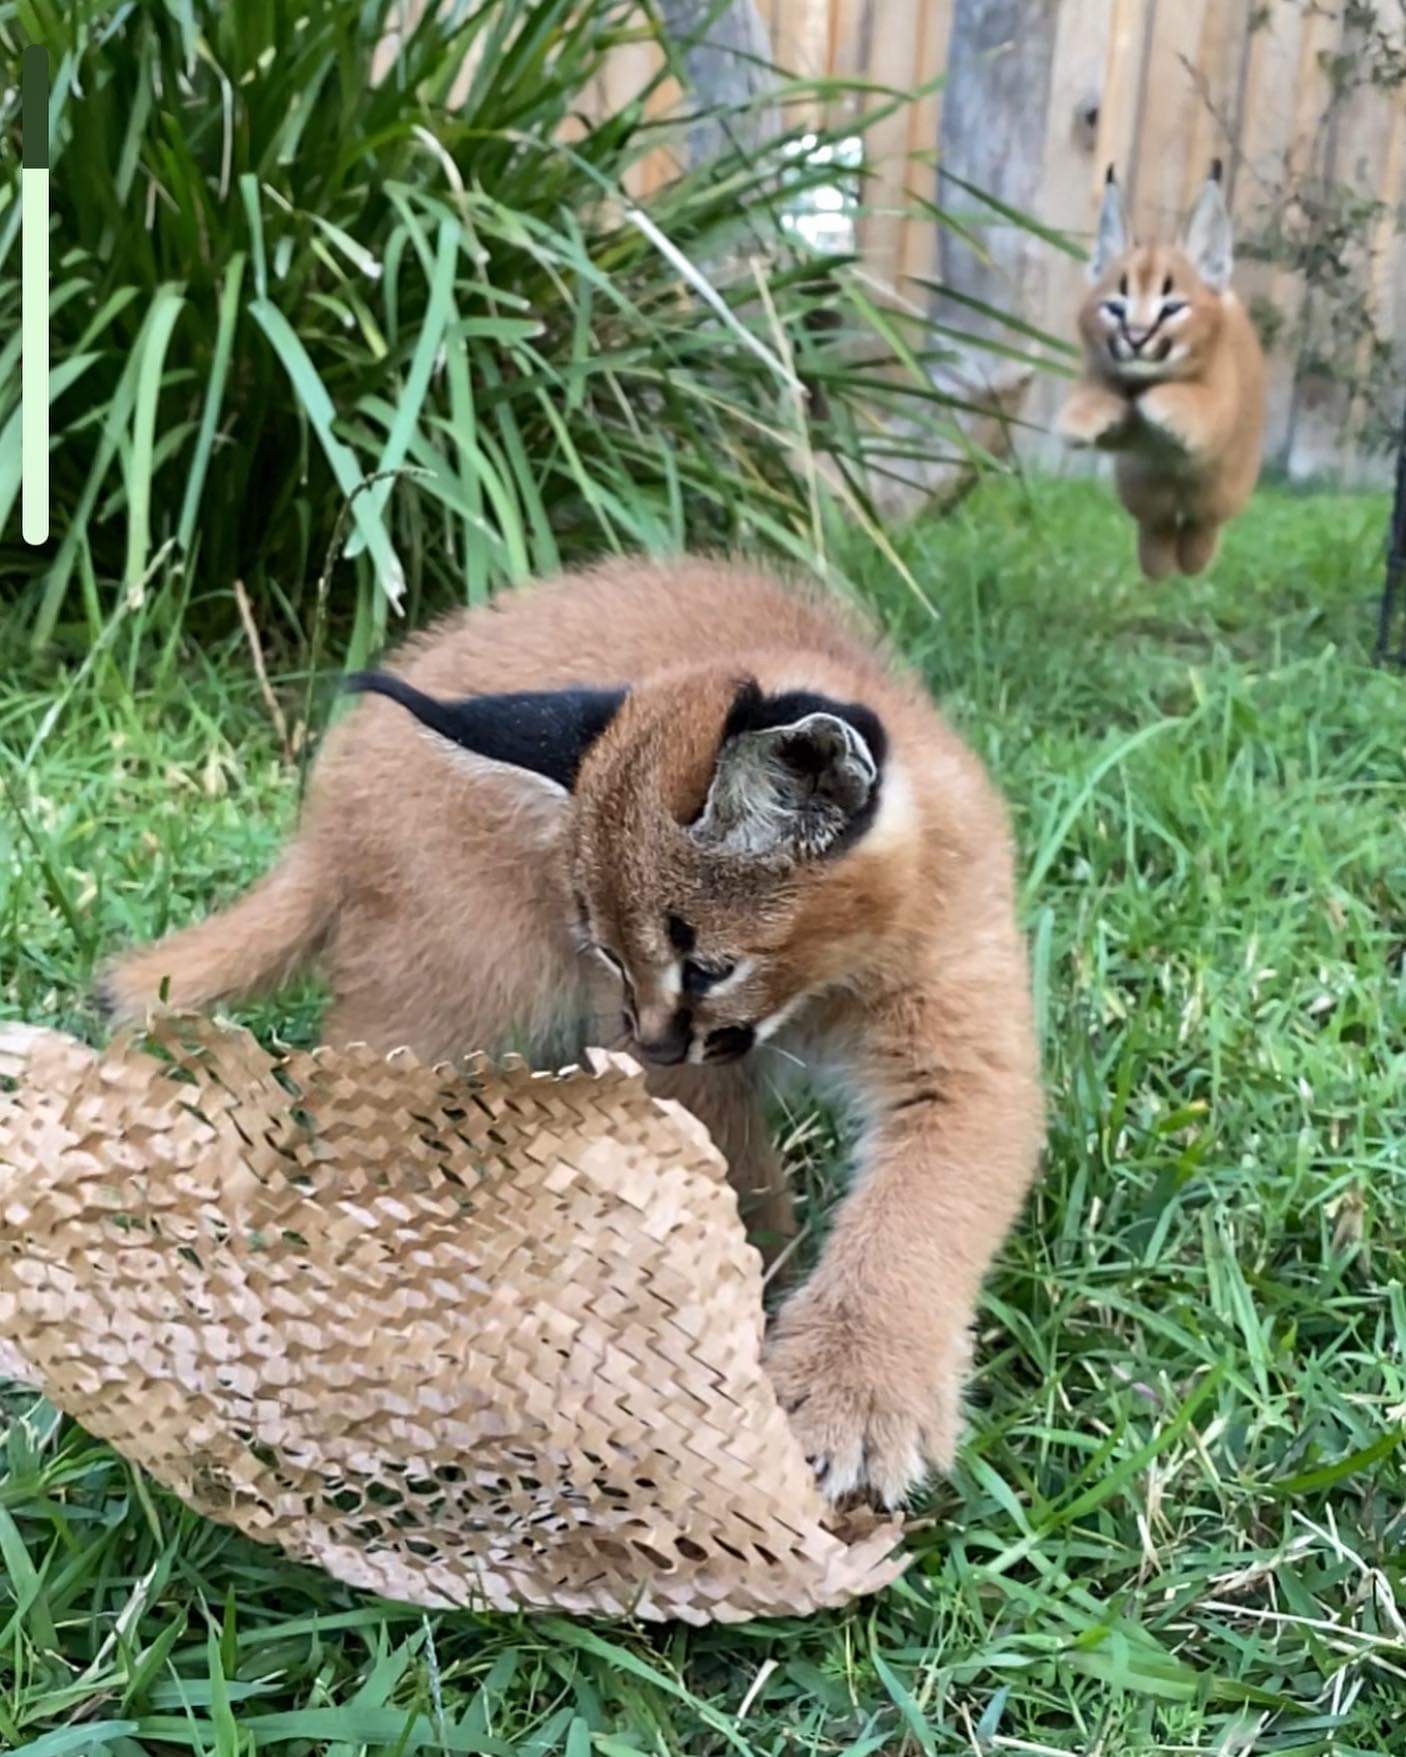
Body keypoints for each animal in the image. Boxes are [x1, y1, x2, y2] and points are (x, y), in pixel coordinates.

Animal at [101, 565, 1040, 1511]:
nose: (652, 1040)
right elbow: (740, 1182)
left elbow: (919, 1213)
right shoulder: (674, 1062)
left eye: (707, 965)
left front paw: (855, 1391)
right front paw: (757, 1321)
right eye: (608, 951)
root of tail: (335, 796)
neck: (818, 993)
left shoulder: (962, 1056)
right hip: (462, 978)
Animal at [1061, 165, 1265, 579]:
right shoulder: (1127, 439)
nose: (1136, 337)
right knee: (1158, 522)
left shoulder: (1216, 415)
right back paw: (1158, 564)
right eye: (1115, 307)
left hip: (1224, 487)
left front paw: (1161, 403)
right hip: (1138, 483)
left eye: (1171, 308)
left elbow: (1195, 403)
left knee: (1204, 523)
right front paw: (1082, 416)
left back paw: (1192, 560)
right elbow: (1101, 398)